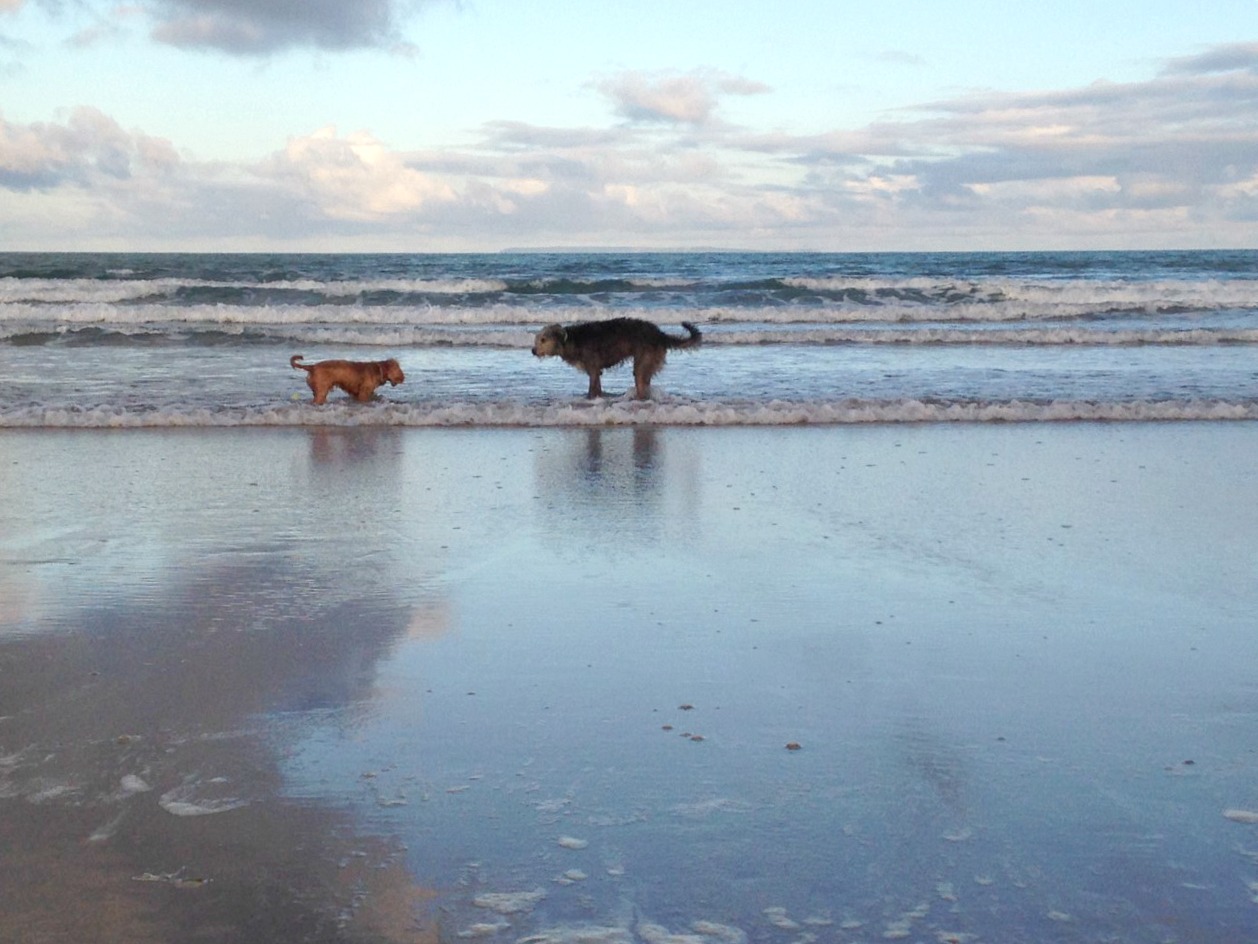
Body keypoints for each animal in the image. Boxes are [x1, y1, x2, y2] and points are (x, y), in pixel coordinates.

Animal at [531, 317, 701, 399]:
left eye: (543, 339)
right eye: (537, 339)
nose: (533, 351)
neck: (570, 340)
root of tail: (660, 334)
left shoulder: (593, 368)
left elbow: (592, 387)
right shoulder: (595, 371)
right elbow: (597, 387)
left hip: (643, 362)